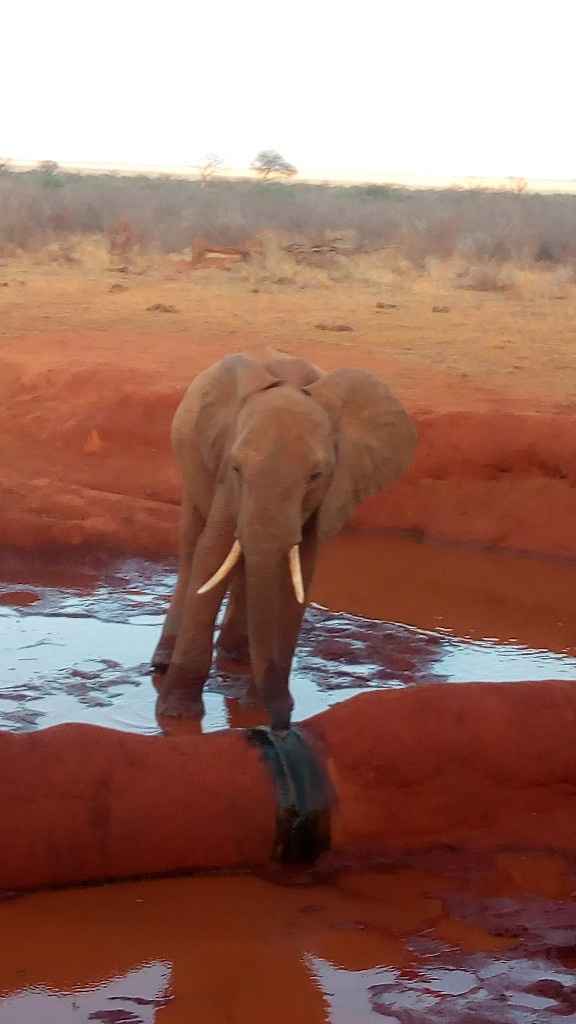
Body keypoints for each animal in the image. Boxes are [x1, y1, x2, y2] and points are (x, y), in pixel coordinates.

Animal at [151, 350, 412, 729]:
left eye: (316, 476)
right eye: (237, 468)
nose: (282, 722)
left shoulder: (329, 494)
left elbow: (295, 576)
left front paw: (255, 707)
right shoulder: (227, 478)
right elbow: (212, 553)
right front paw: (177, 714)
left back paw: (236, 655)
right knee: (191, 548)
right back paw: (164, 663)